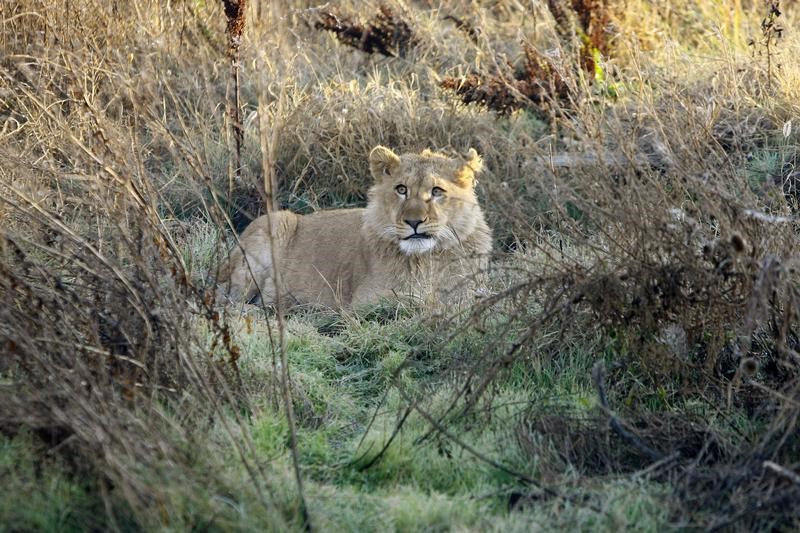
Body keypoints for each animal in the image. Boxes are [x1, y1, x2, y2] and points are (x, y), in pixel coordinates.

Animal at [216, 145, 494, 310]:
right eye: (401, 189)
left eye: (436, 191)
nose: (414, 222)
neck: (427, 259)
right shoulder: (364, 302)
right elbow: (415, 301)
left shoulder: (470, 293)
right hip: (275, 225)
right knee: (227, 300)